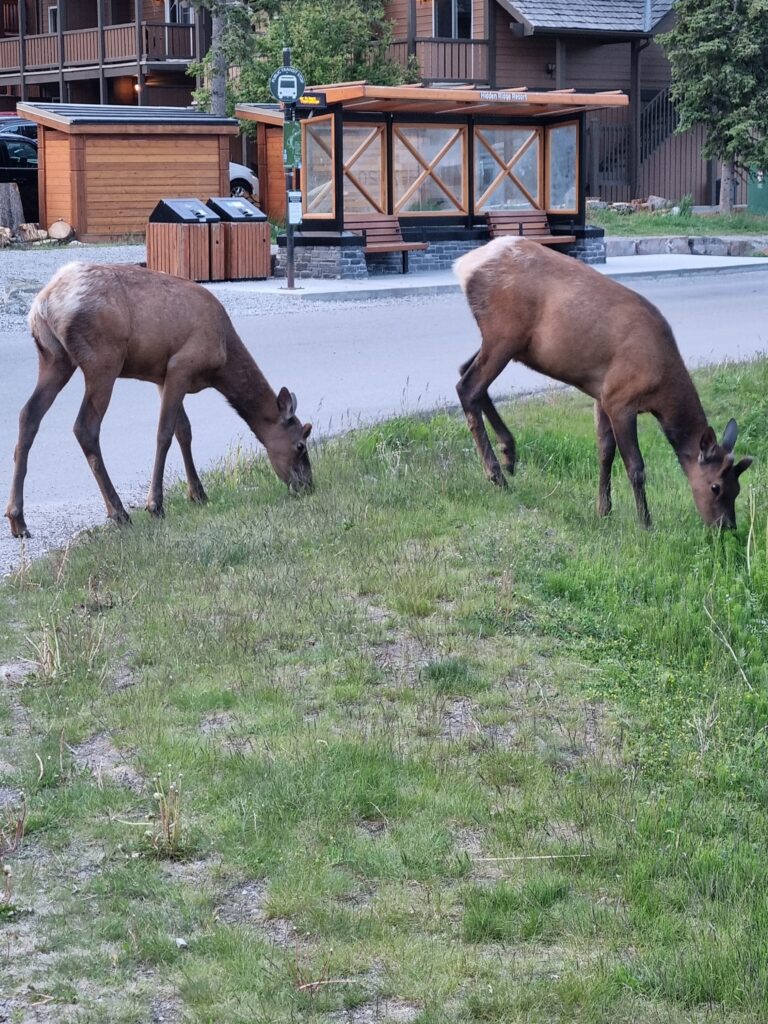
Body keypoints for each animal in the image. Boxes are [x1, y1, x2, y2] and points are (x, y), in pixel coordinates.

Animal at [6, 262, 313, 539]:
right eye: (300, 445)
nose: (308, 485)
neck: (222, 363)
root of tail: (43, 304)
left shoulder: (161, 377)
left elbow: (184, 431)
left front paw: (198, 494)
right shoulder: (181, 366)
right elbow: (164, 433)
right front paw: (155, 505)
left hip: (54, 358)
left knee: (27, 415)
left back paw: (17, 519)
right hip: (103, 361)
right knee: (85, 427)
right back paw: (119, 512)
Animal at [453, 237, 753, 529]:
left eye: (737, 489)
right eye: (715, 486)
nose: (727, 526)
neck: (661, 389)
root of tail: (465, 266)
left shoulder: (602, 395)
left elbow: (605, 453)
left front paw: (604, 510)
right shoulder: (621, 399)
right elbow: (635, 466)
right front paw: (645, 523)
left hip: (507, 344)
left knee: (465, 372)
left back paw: (509, 453)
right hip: (504, 334)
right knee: (468, 387)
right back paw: (496, 474)